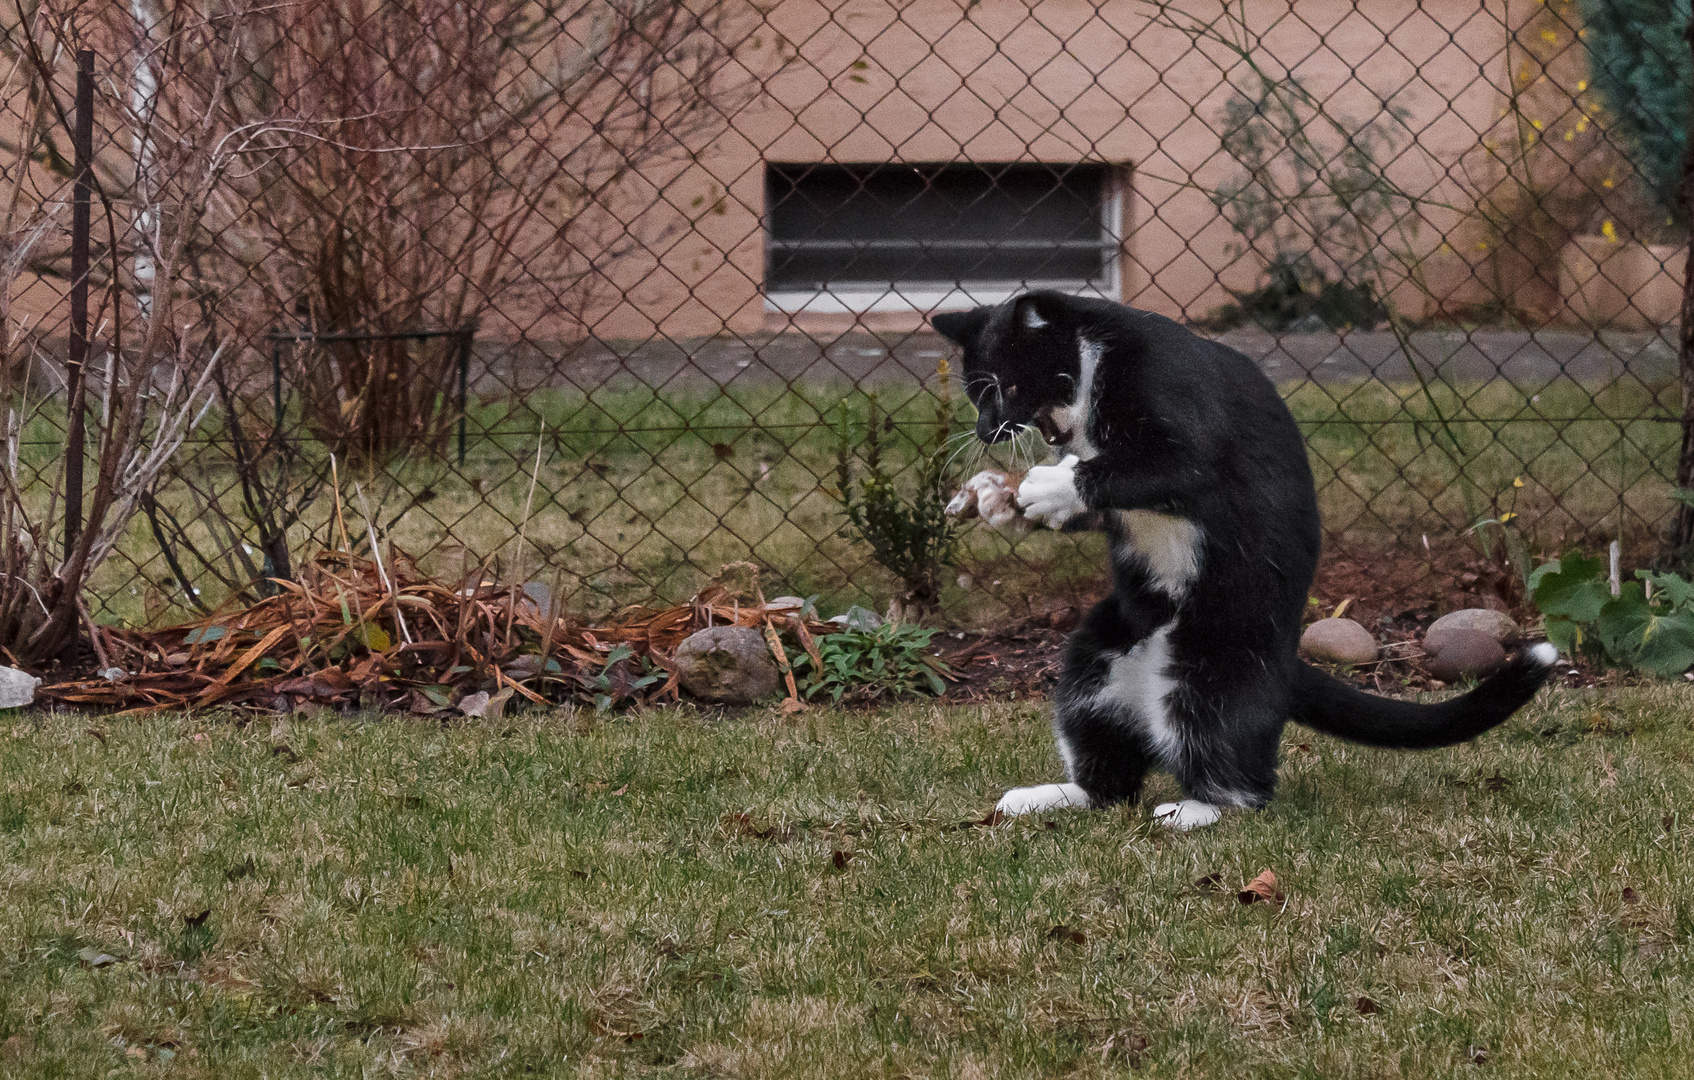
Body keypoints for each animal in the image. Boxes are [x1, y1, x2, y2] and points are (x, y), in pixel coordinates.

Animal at [935, 291, 1551, 832]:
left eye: (1007, 386)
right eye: (976, 393)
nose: (985, 431)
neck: (1096, 367)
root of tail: (1284, 663)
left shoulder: (1181, 425)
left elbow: (1142, 468)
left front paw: (1047, 487)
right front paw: (998, 500)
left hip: (1215, 669)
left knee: (1243, 783)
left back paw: (1193, 811)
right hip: (1096, 656)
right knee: (1110, 781)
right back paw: (1046, 797)